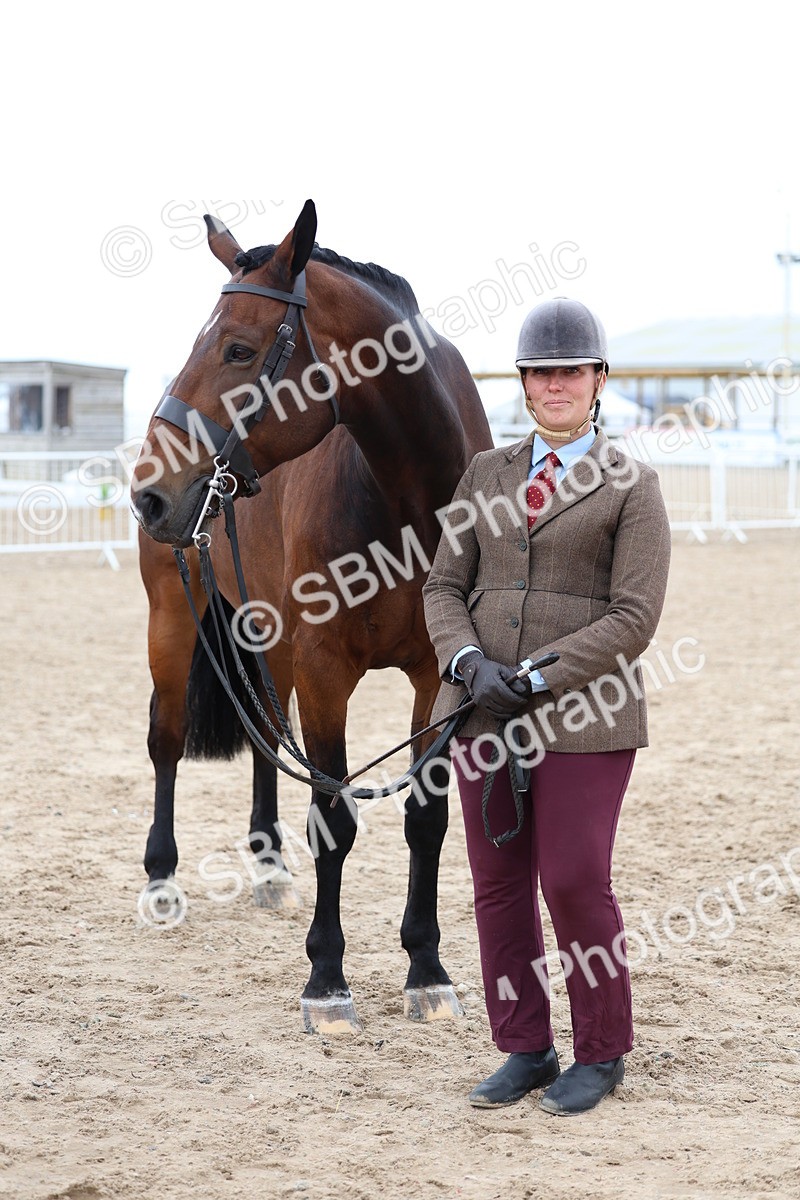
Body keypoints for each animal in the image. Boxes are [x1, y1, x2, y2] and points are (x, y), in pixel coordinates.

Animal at [131, 199, 493, 1033]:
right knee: (167, 740)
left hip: (267, 631)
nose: (149, 492)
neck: (411, 506)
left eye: (238, 348)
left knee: (267, 736)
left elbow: (425, 820)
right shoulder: (328, 670)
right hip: (173, 617)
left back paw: (268, 865)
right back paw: (161, 882)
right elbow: (334, 817)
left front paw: (427, 969)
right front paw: (327, 980)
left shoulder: (440, 675)